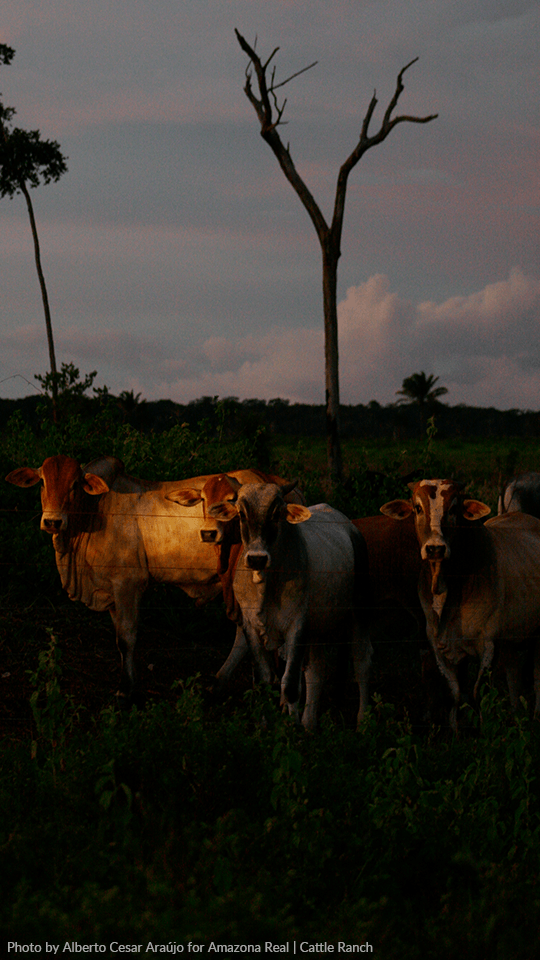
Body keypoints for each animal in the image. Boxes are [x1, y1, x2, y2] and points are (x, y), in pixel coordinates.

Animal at [5, 455, 293, 704]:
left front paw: (126, 691)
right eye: (43, 481)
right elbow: (120, 639)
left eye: (75, 484)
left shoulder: (127, 585)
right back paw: (222, 684)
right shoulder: (112, 593)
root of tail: (271, 480)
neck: (95, 510)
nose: (52, 521)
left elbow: (127, 637)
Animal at [206, 478, 371, 730]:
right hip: (317, 629)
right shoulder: (251, 626)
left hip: (358, 611)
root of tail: (349, 525)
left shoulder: (297, 626)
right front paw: (266, 724)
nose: (257, 558)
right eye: (241, 514)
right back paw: (309, 723)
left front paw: (291, 728)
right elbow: (265, 680)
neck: (266, 584)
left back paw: (363, 720)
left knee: (362, 661)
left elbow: (290, 685)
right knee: (316, 671)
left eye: (276, 514)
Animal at [381, 479, 540, 731]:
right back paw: (516, 714)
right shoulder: (438, 645)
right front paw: (455, 730)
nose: (435, 548)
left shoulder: (488, 645)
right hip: (511, 637)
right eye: (417, 508)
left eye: (454, 508)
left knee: (536, 674)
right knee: (513, 673)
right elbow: (455, 694)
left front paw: (484, 730)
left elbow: (478, 693)